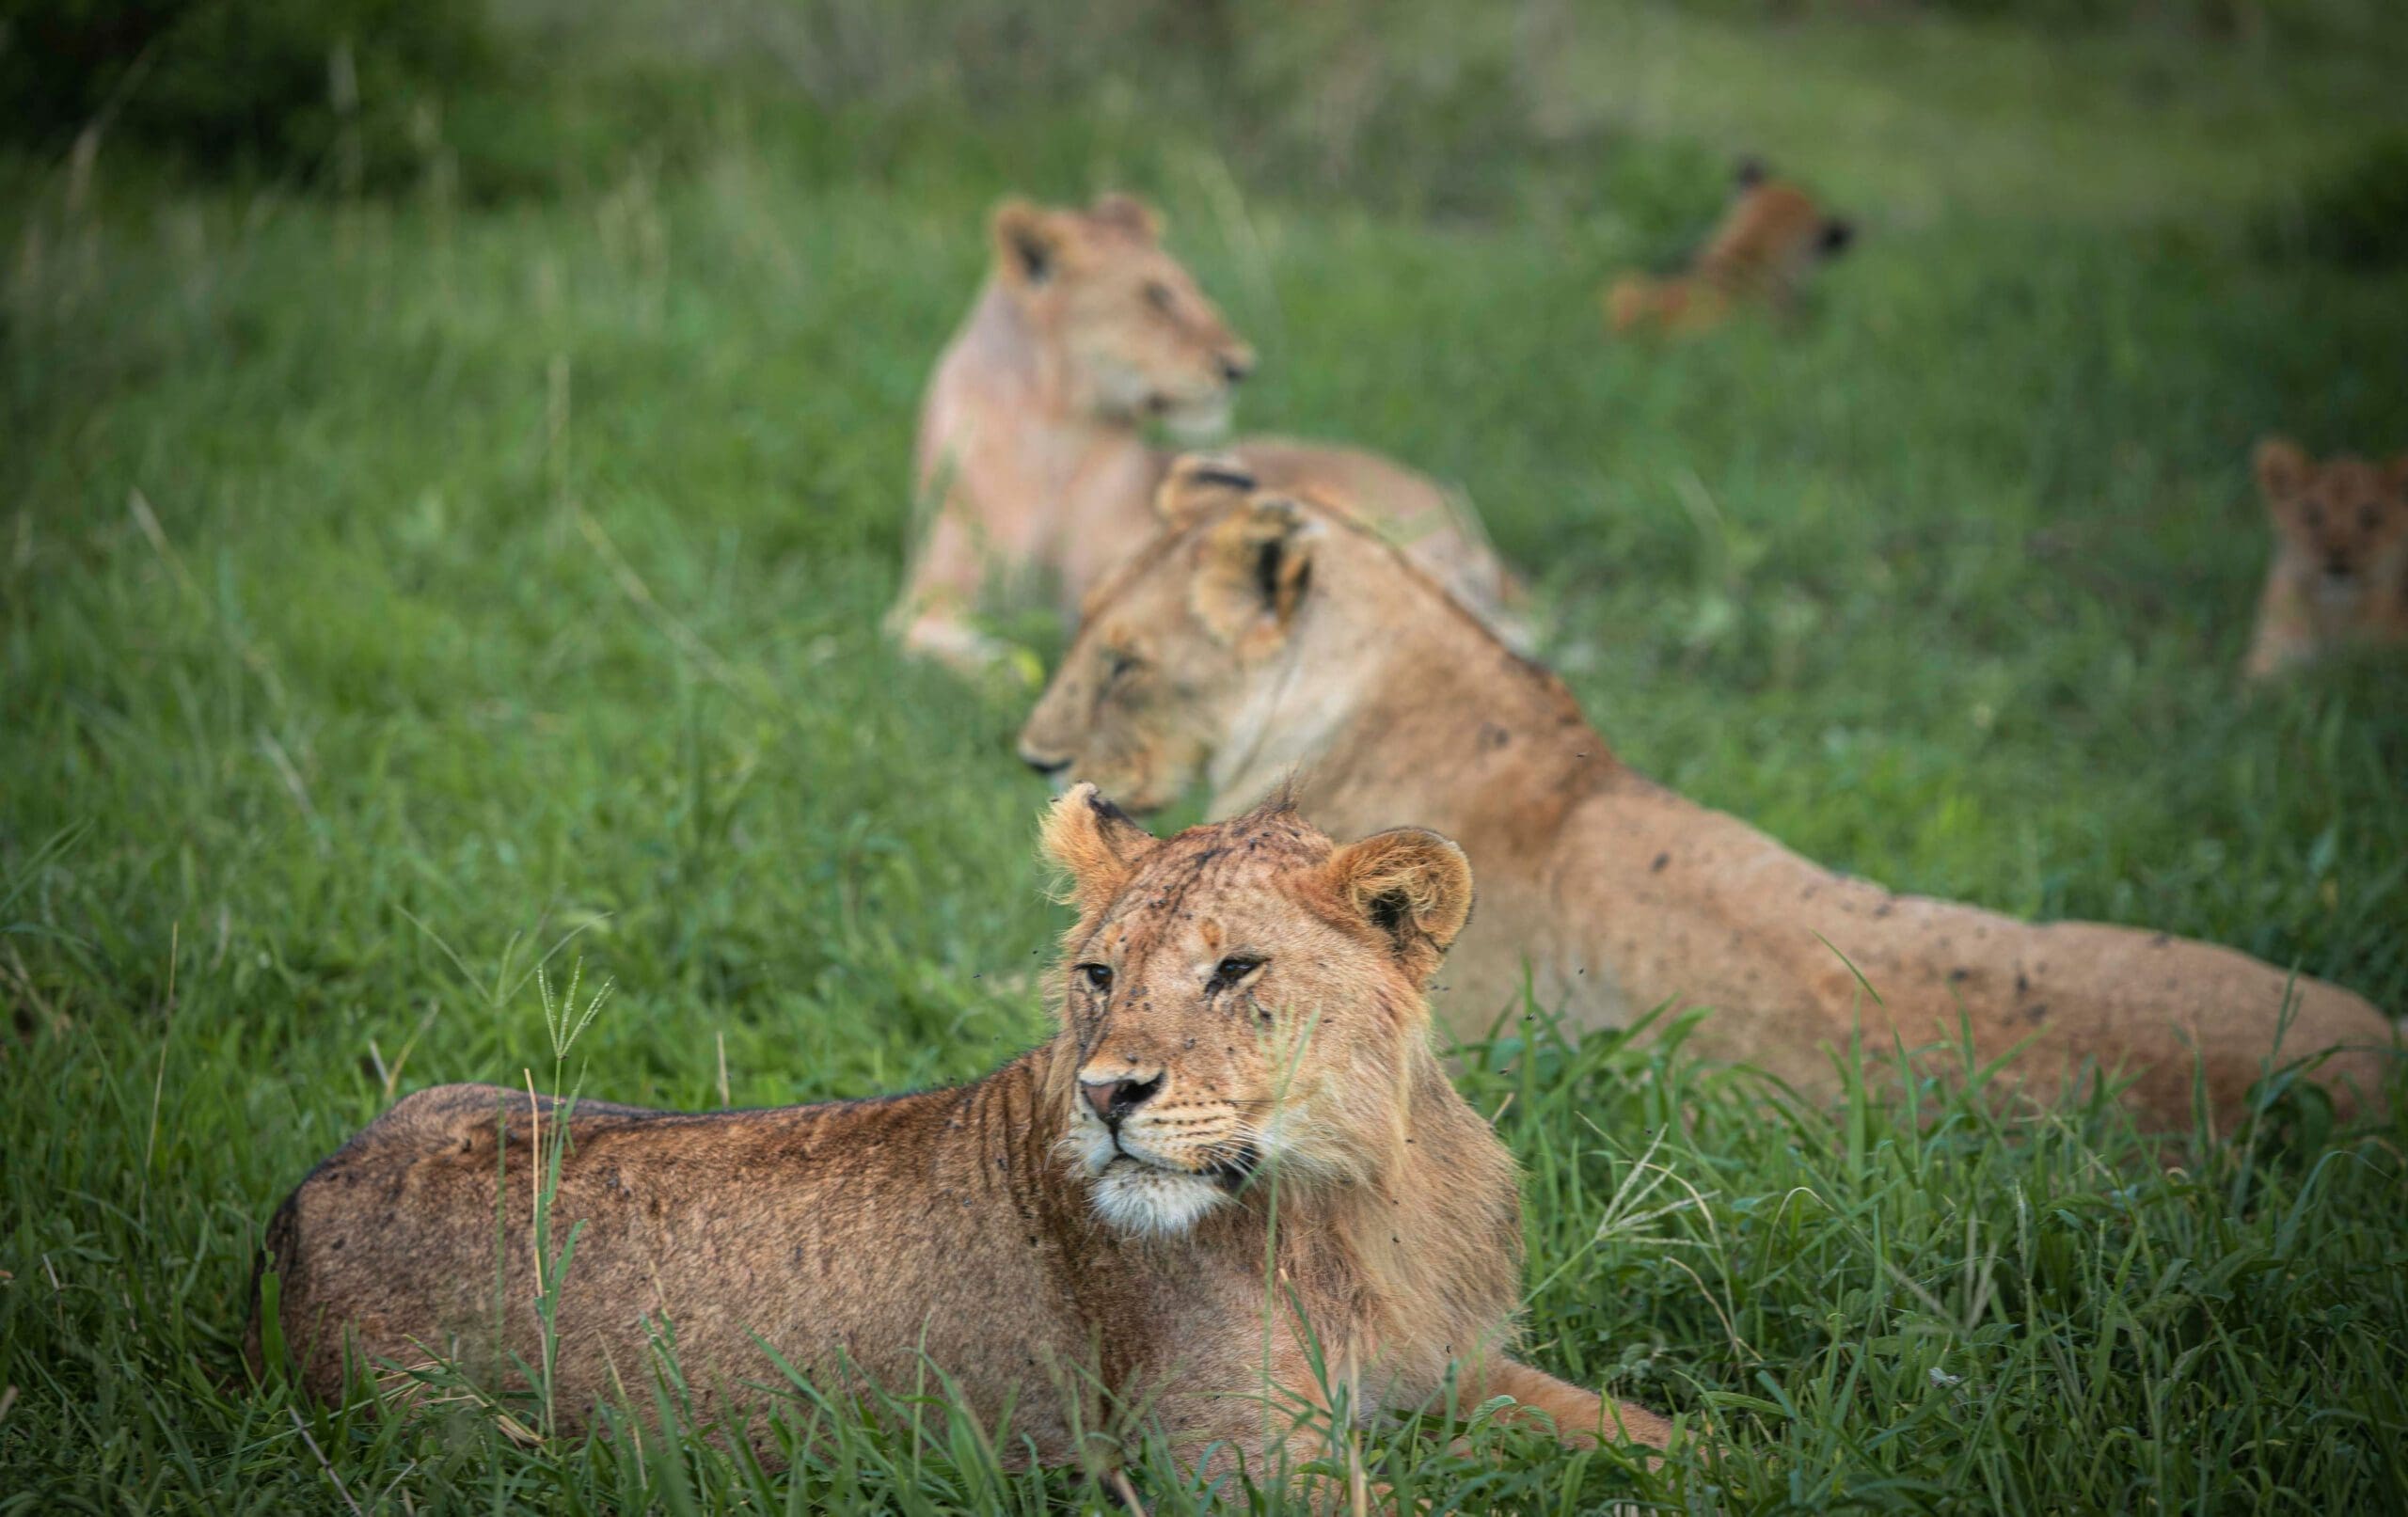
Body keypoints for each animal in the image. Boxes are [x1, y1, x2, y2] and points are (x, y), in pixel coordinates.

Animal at [248, 789, 1675, 1493]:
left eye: (1234, 972)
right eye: (1099, 973)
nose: (1106, 1094)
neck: (1352, 1200)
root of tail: (303, 1197)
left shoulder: (1447, 1371)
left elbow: (1645, 1427)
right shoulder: (1228, 1462)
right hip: (469, 1437)